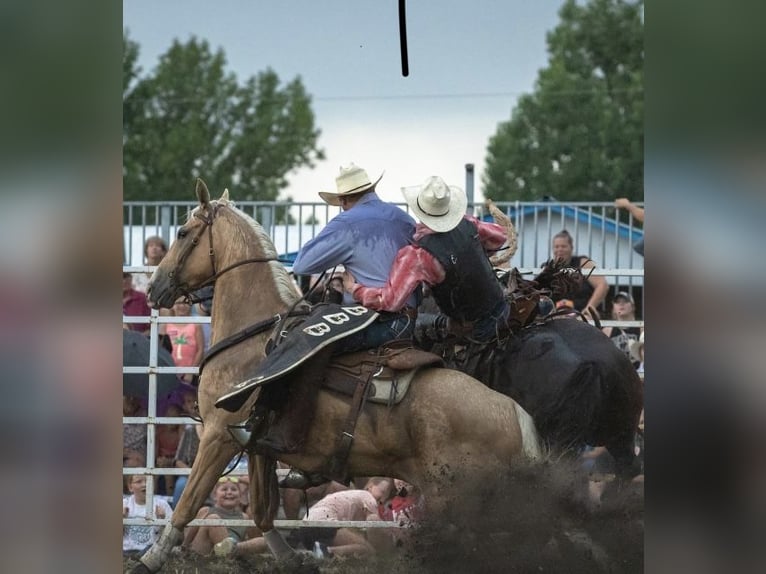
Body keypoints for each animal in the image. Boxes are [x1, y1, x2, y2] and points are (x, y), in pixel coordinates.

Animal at [135, 179, 544, 572]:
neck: (255, 335)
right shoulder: (254, 443)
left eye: (183, 232)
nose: (155, 287)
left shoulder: (219, 435)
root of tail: (514, 413)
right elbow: (263, 509)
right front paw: (291, 559)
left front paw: (149, 560)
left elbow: (188, 504)